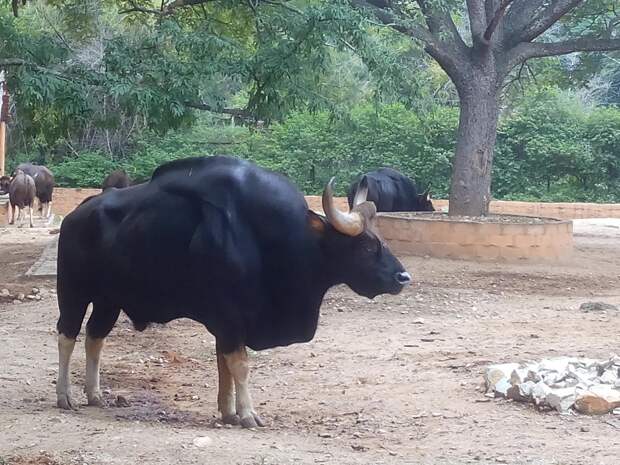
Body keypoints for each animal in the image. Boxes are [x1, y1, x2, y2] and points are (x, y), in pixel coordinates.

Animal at [54, 154, 412, 426]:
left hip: (108, 301)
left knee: (94, 337)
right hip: (73, 293)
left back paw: (95, 394)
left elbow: (222, 363)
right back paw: (65, 395)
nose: (402, 277)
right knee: (67, 335)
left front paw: (228, 412)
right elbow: (239, 364)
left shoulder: (225, 324)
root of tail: (75, 216)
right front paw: (247, 414)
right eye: (366, 246)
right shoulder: (230, 316)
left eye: (381, 238)